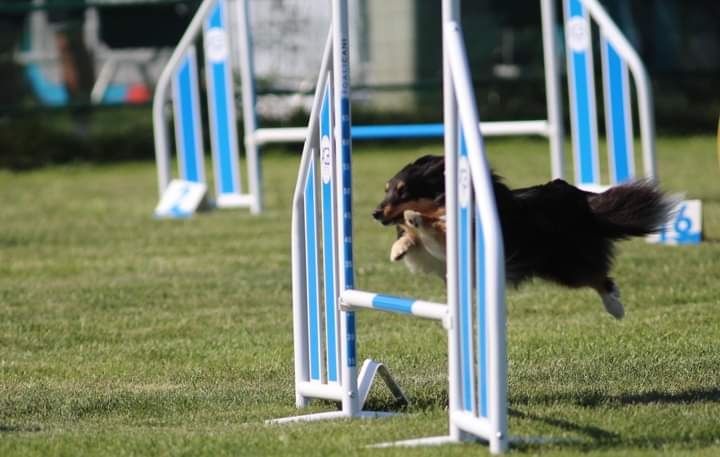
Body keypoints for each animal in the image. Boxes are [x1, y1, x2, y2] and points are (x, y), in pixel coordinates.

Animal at [372, 153, 676, 318]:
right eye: (386, 190)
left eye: (403, 191)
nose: (375, 213)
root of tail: (578, 196)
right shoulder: (436, 259)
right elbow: (417, 241)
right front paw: (399, 247)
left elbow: (436, 226)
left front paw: (415, 218)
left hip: (564, 265)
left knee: (600, 277)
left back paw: (615, 307)